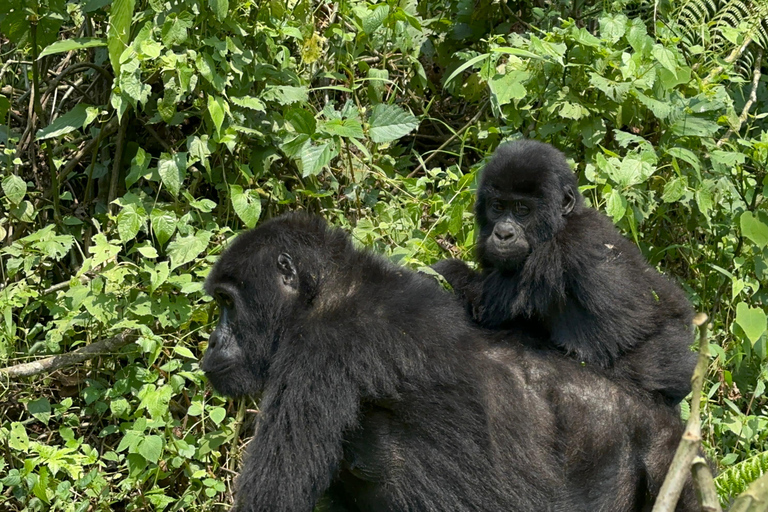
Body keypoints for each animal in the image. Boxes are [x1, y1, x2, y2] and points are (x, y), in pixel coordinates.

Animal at [436, 139, 700, 404]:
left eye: (522, 209)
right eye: (497, 207)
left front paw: (446, 270)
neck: (560, 223)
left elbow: (482, 305)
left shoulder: (562, 250)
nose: (503, 233)